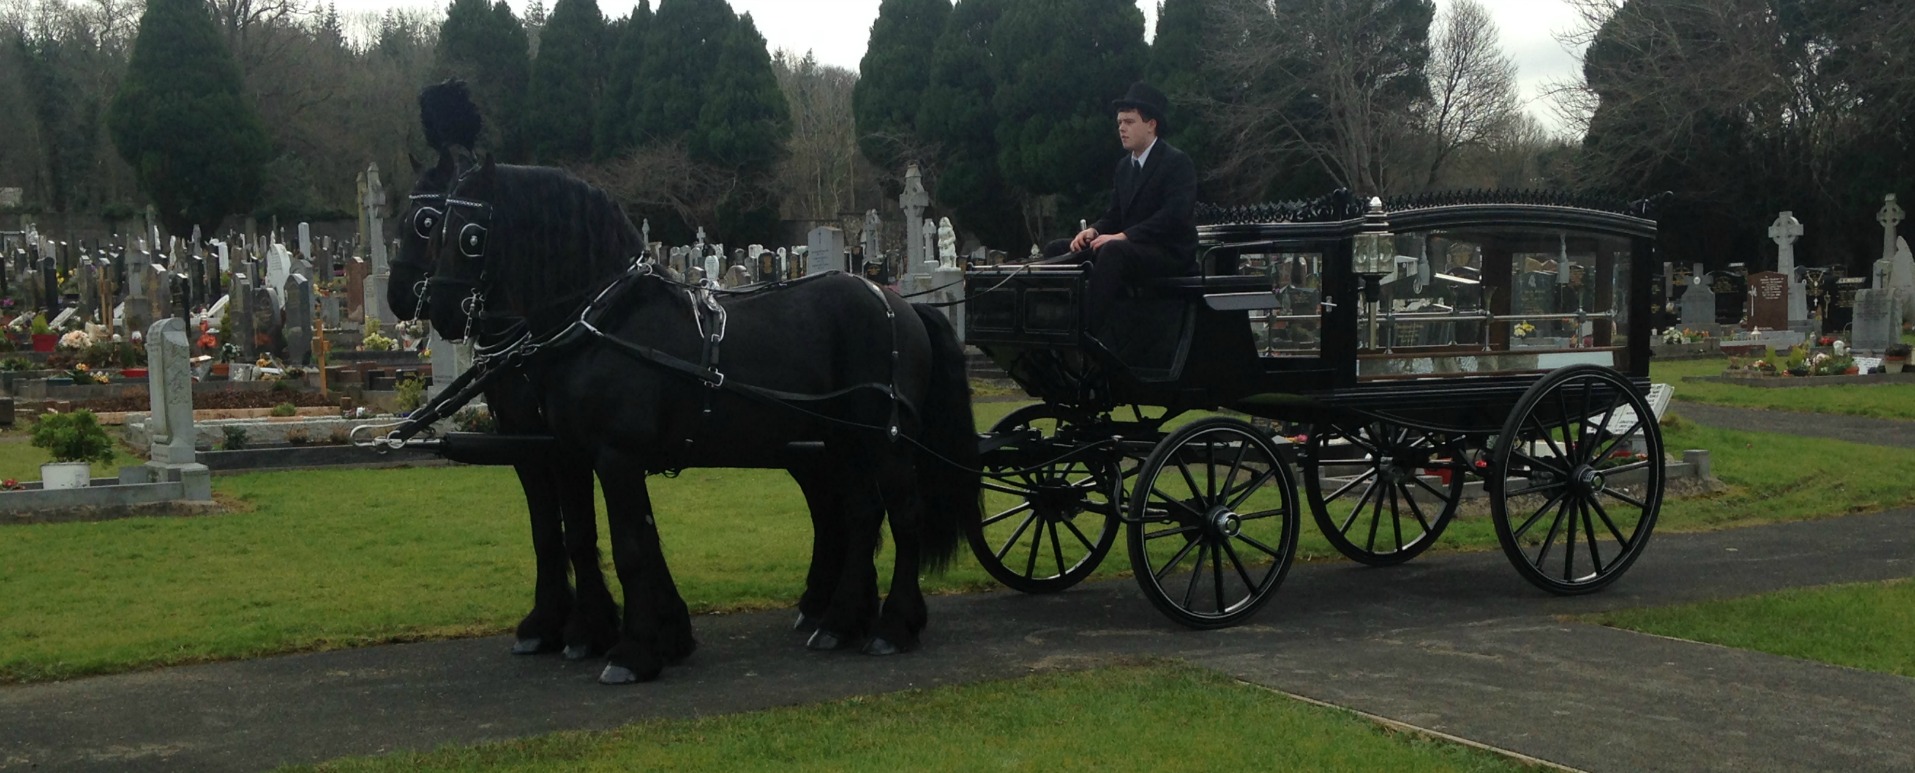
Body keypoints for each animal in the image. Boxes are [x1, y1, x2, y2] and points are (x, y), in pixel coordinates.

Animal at [425, 151, 980, 681]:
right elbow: (608, 538)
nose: (438, 309)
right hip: (844, 441)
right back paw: (840, 622)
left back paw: (893, 625)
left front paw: (632, 653)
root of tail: (898, 302)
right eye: (432, 225)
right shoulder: (575, 454)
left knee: (903, 514)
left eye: (470, 235)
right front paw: (651, 636)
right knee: (863, 514)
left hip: (886, 440)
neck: (605, 319)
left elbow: (629, 547)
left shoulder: (616, 455)